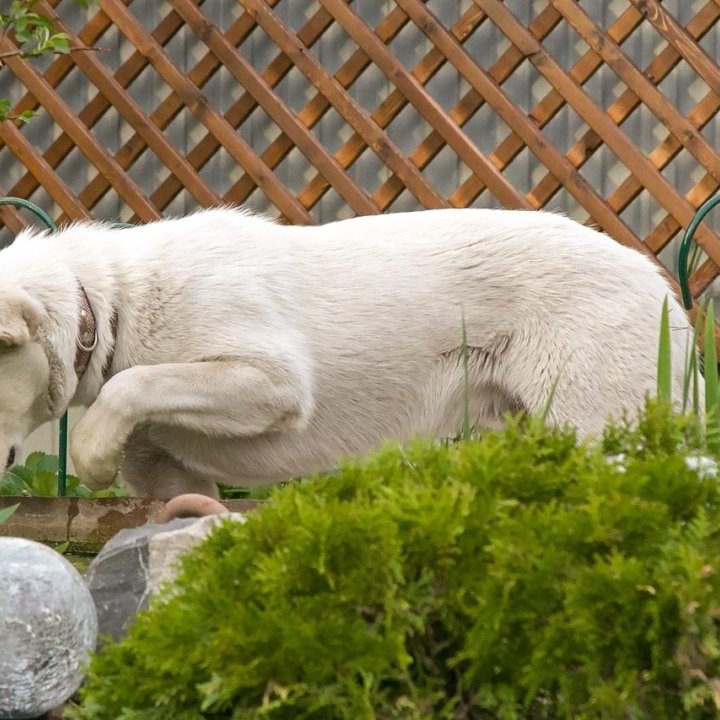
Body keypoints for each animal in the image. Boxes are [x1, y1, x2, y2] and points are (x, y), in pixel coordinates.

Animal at [0, 207, 700, 496]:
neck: (108, 306)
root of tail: (659, 285)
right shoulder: (170, 478)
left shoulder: (274, 382)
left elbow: (134, 384)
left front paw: (91, 456)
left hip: (601, 424)